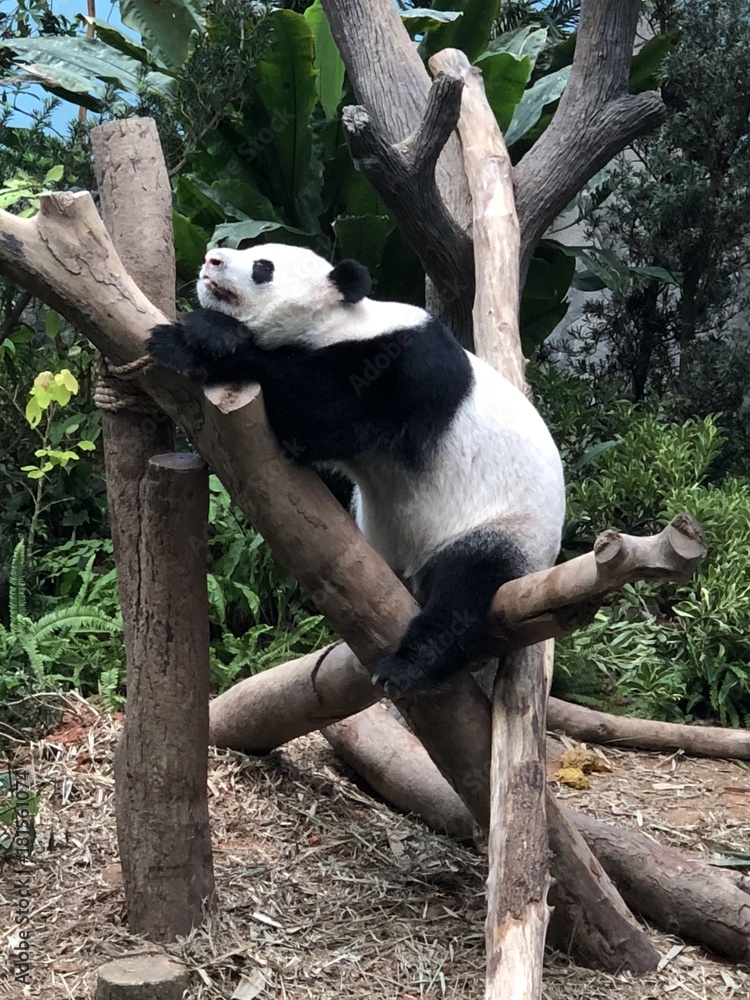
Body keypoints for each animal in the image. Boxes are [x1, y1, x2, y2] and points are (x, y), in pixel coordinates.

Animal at [147, 243, 565, 694]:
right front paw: (174, 340)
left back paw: (407, 666)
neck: (340, 323)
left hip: (505, 528)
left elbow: (314, 413)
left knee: (465, 588)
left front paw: (204, 335)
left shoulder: (399, 369)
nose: (213, 259)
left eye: (262, 267)